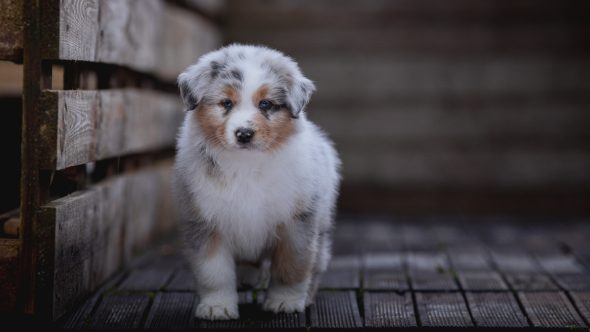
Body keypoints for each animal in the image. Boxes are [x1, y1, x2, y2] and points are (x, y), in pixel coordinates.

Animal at [175, 43, 342, 320]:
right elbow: (214, 273)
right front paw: (217, 307)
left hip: (322, 224)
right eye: (226, 103)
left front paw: (284, 302)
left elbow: (292, 267)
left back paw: (306, 296)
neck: (246, 164)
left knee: (317, 263)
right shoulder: (205, 221)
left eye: (266, 104)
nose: (244, 134)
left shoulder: (296, 222)